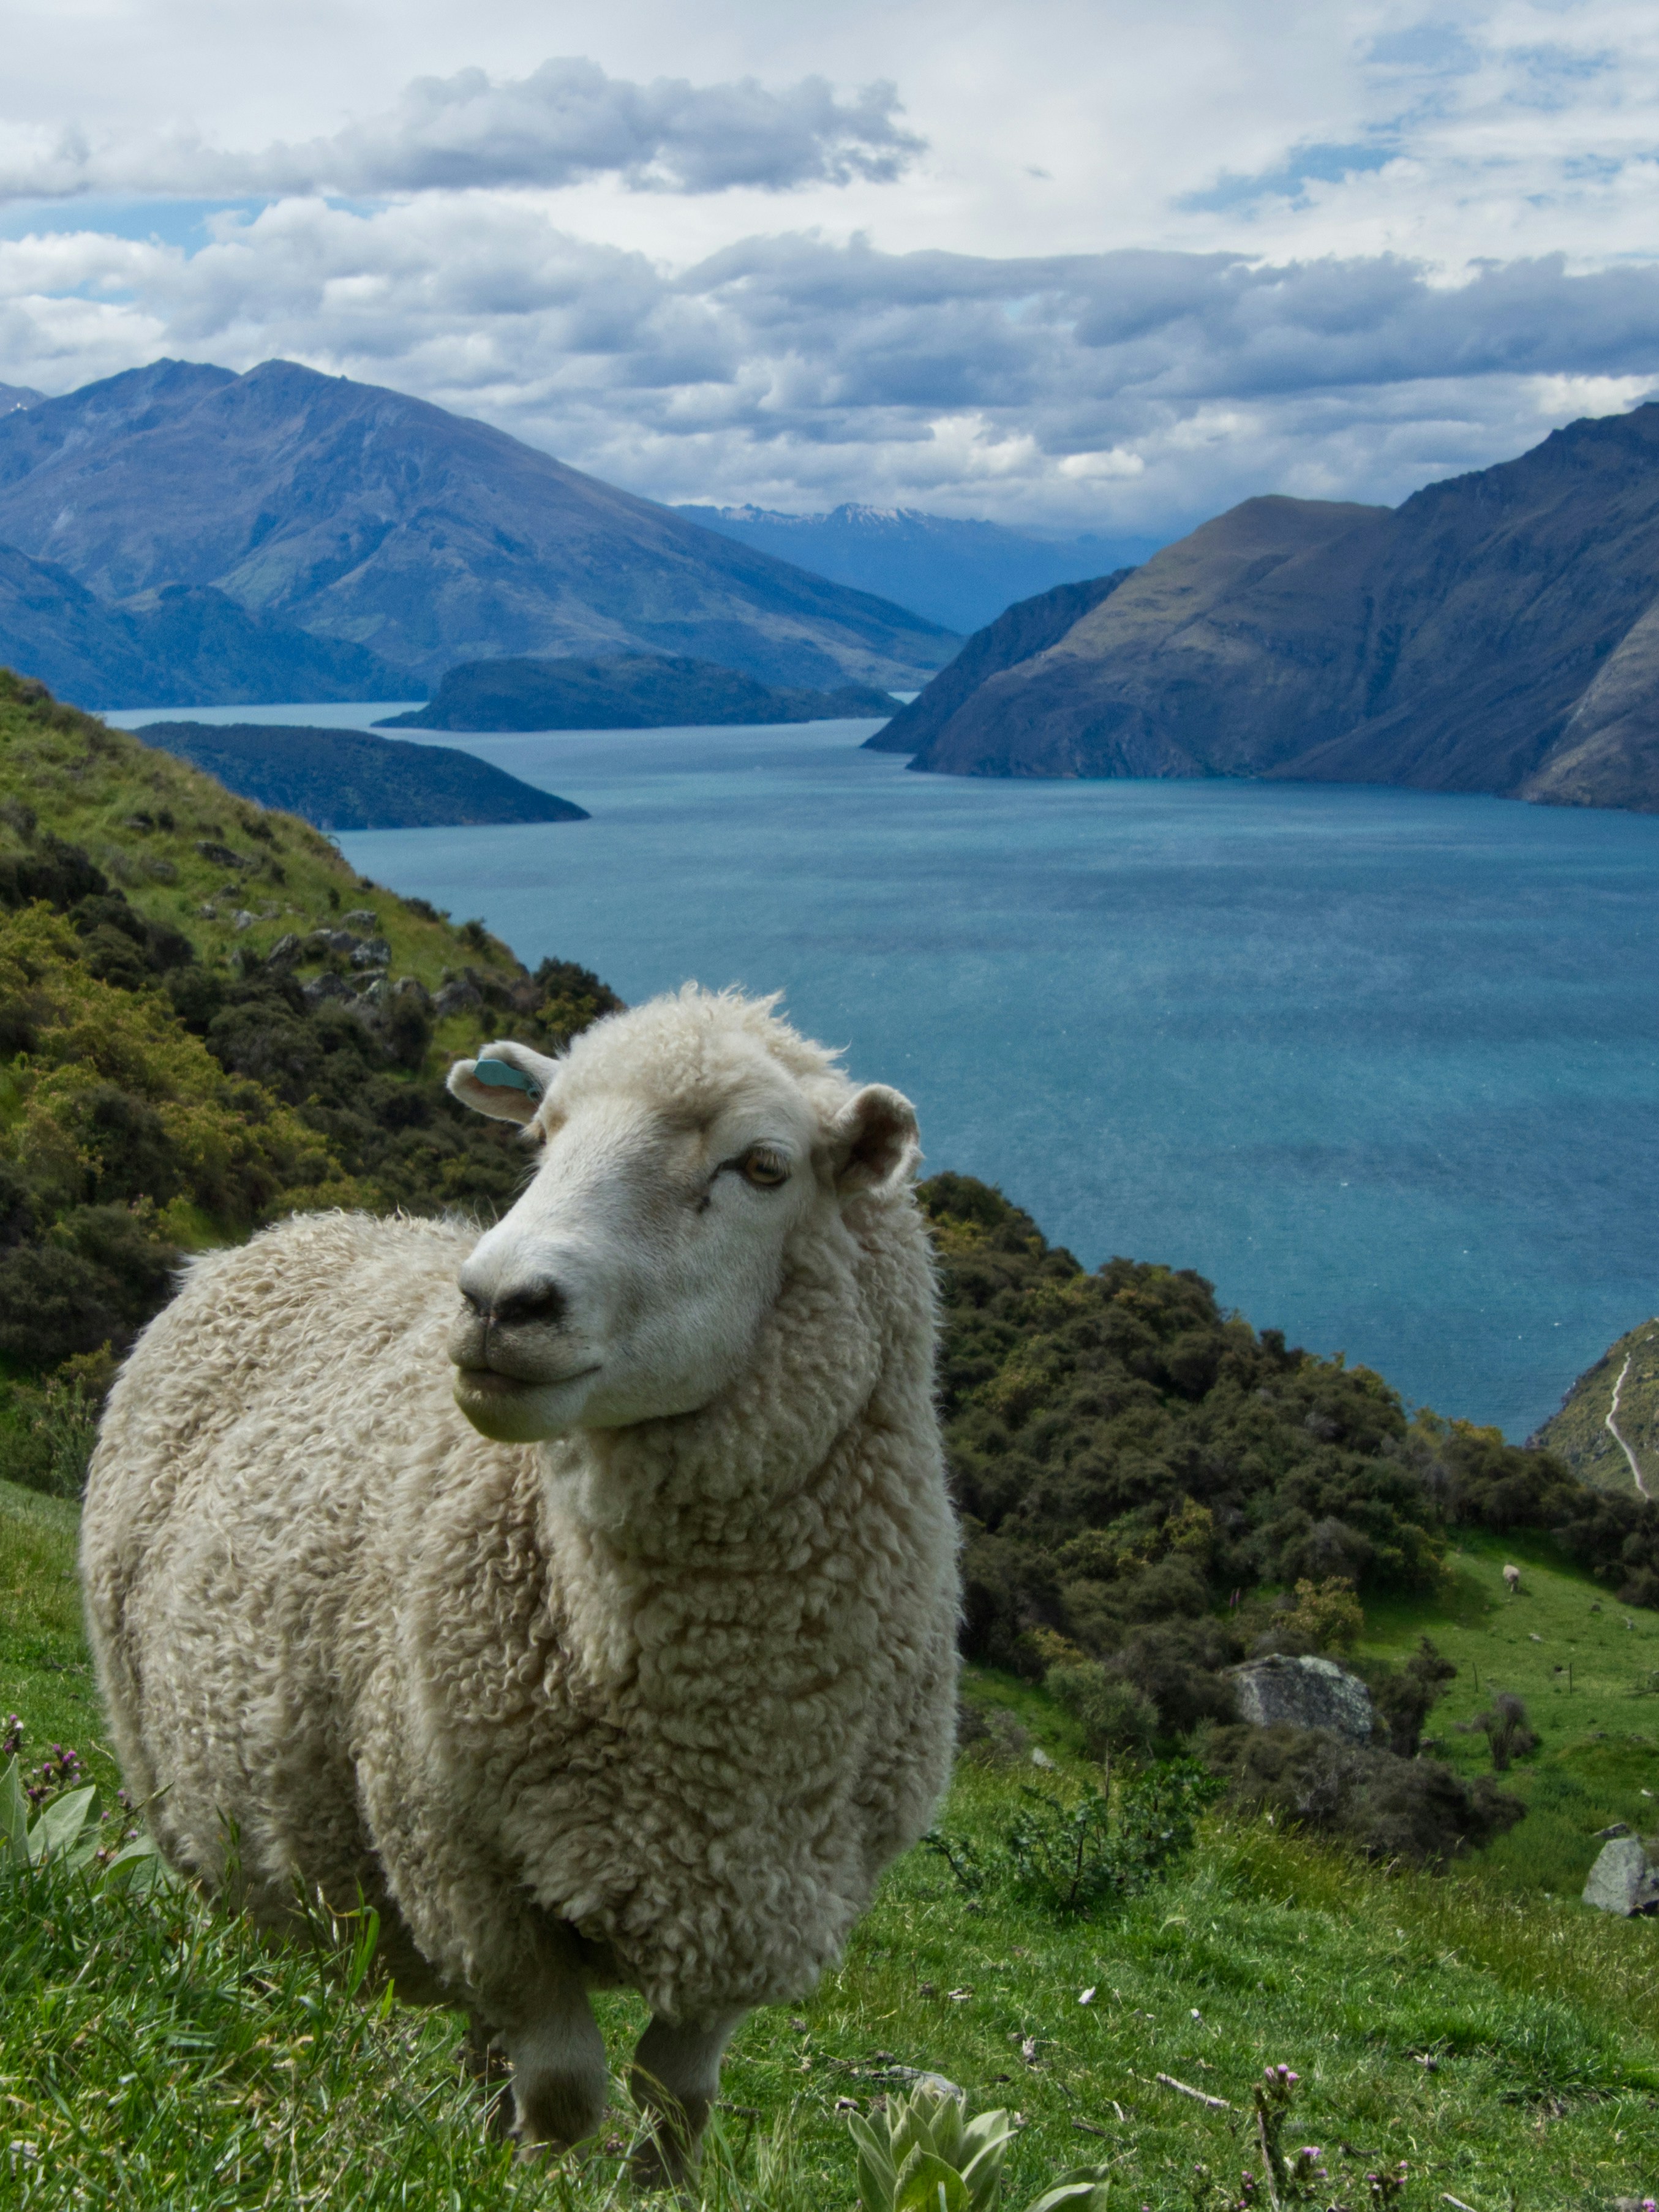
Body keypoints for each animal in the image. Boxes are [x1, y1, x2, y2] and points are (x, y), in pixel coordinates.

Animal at [80, 986, 960, 2176]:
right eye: (541, 1139)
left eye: (763, 1166)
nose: (499, 1302)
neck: (704, 1726)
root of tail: (286, 1232)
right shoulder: (465, 1871)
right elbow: (565, 2093)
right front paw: (522, 2178)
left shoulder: (760, 1901)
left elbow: (677, 2099)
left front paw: (644, 2185)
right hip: (176, 1784)